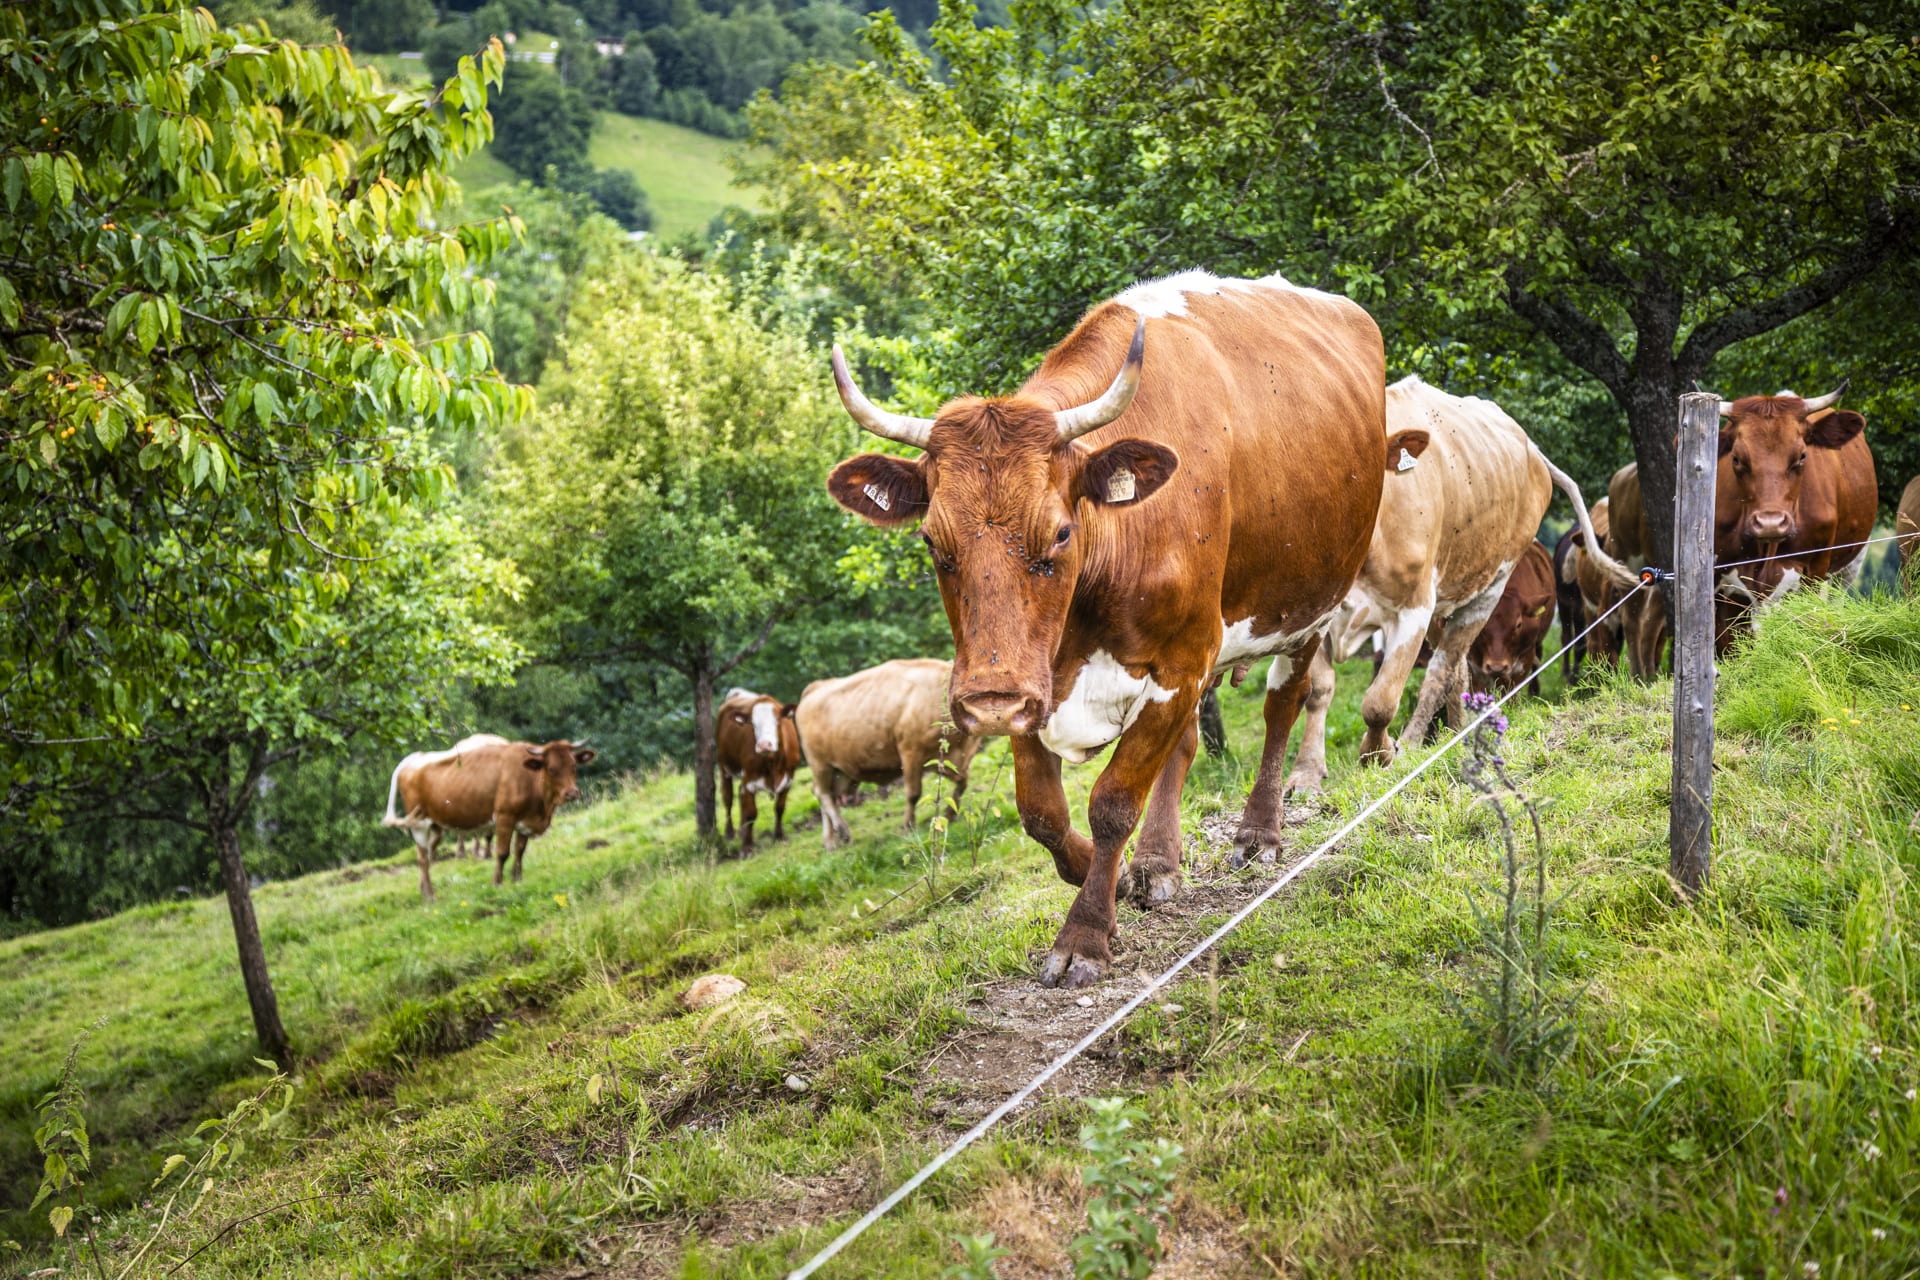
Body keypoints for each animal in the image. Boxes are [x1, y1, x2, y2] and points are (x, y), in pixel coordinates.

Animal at [384, 737, 596, 902]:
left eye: (574, 766)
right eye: (551, 769)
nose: (571, 793)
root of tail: (414, 758)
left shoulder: (525, 822)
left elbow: (519, 850)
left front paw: (517, 879)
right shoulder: (505, 817)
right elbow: (502, 853)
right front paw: (497, 882)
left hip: (437, 825)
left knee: (427, 855)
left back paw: (423, 890)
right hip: (419, 823)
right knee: (422, 858)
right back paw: (430, 895)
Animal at [716, 688, 801, 853]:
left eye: (777, 720)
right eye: (753, 724)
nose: (764, 745)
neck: (772, 763)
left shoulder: (789, 779)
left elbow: (779, 808)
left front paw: (779, 836)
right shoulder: (749, 780)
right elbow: (751, 813)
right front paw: (747, 847)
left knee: (739, 792)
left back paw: (741, 830)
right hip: (724, 767)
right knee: (728, 799)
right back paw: (730, 832)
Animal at [795, 658, 982, 849]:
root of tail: (815, 687)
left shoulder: (951, 759)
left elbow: (963, 782)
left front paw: (950, 813)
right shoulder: (910, 752)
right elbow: (913, 793)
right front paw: (908, 825)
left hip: (841, 770)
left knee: (828, 795)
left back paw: (831, 839)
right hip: (819, 764)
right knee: (823, 794)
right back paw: (839, 833)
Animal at [825, 269, 1386, 988]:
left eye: (1061, 532)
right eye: (931, 541)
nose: (986, 699)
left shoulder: (1180, 661)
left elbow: (1114, 800)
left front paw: (1085, 937)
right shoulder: (1033, 680)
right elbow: (1042, 811)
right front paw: (1113, 879)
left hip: (1310, 605)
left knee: (1282, 706)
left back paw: (1259, 835)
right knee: (1184, 745)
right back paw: (1156, 865)